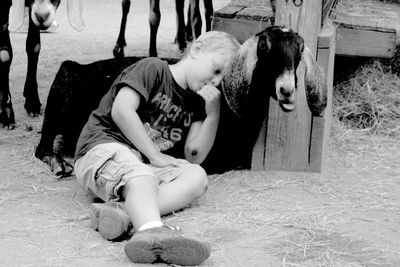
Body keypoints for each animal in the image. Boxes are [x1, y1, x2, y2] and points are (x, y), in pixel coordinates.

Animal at [35, 26, 328, 177]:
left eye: (300, 49)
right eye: (264, 47)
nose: (287, 90)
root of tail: (78, 66)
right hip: (60, 91)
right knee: (42, 146)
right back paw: (58, 163)